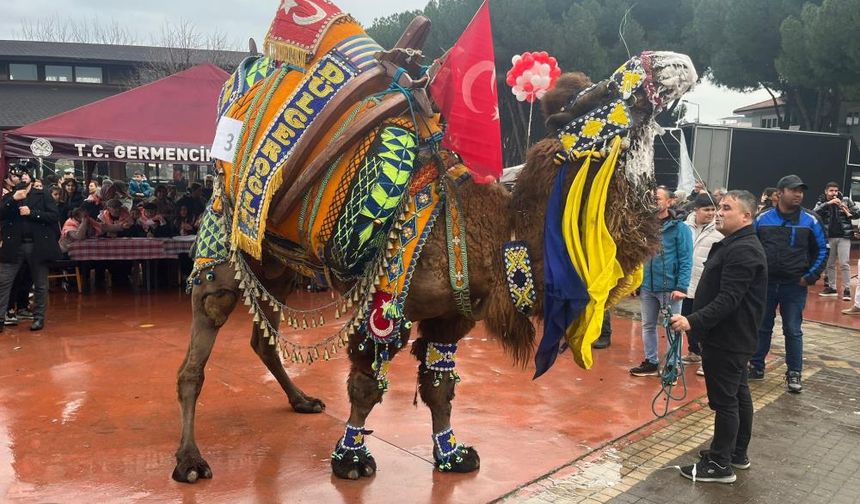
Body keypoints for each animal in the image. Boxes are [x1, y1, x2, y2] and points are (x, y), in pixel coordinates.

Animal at [171, 0, 696, 484]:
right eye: (596, 96)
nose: (677, 63)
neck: (492, 233)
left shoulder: (455, 314)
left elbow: (440, 384)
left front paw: (452, 454)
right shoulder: (385, 302)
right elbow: (367, 385)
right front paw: (351, 460)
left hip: (274, 264)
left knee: (263, 338)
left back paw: (301, 399)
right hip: (221, 242)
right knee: (198, 349)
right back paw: (190, 461)